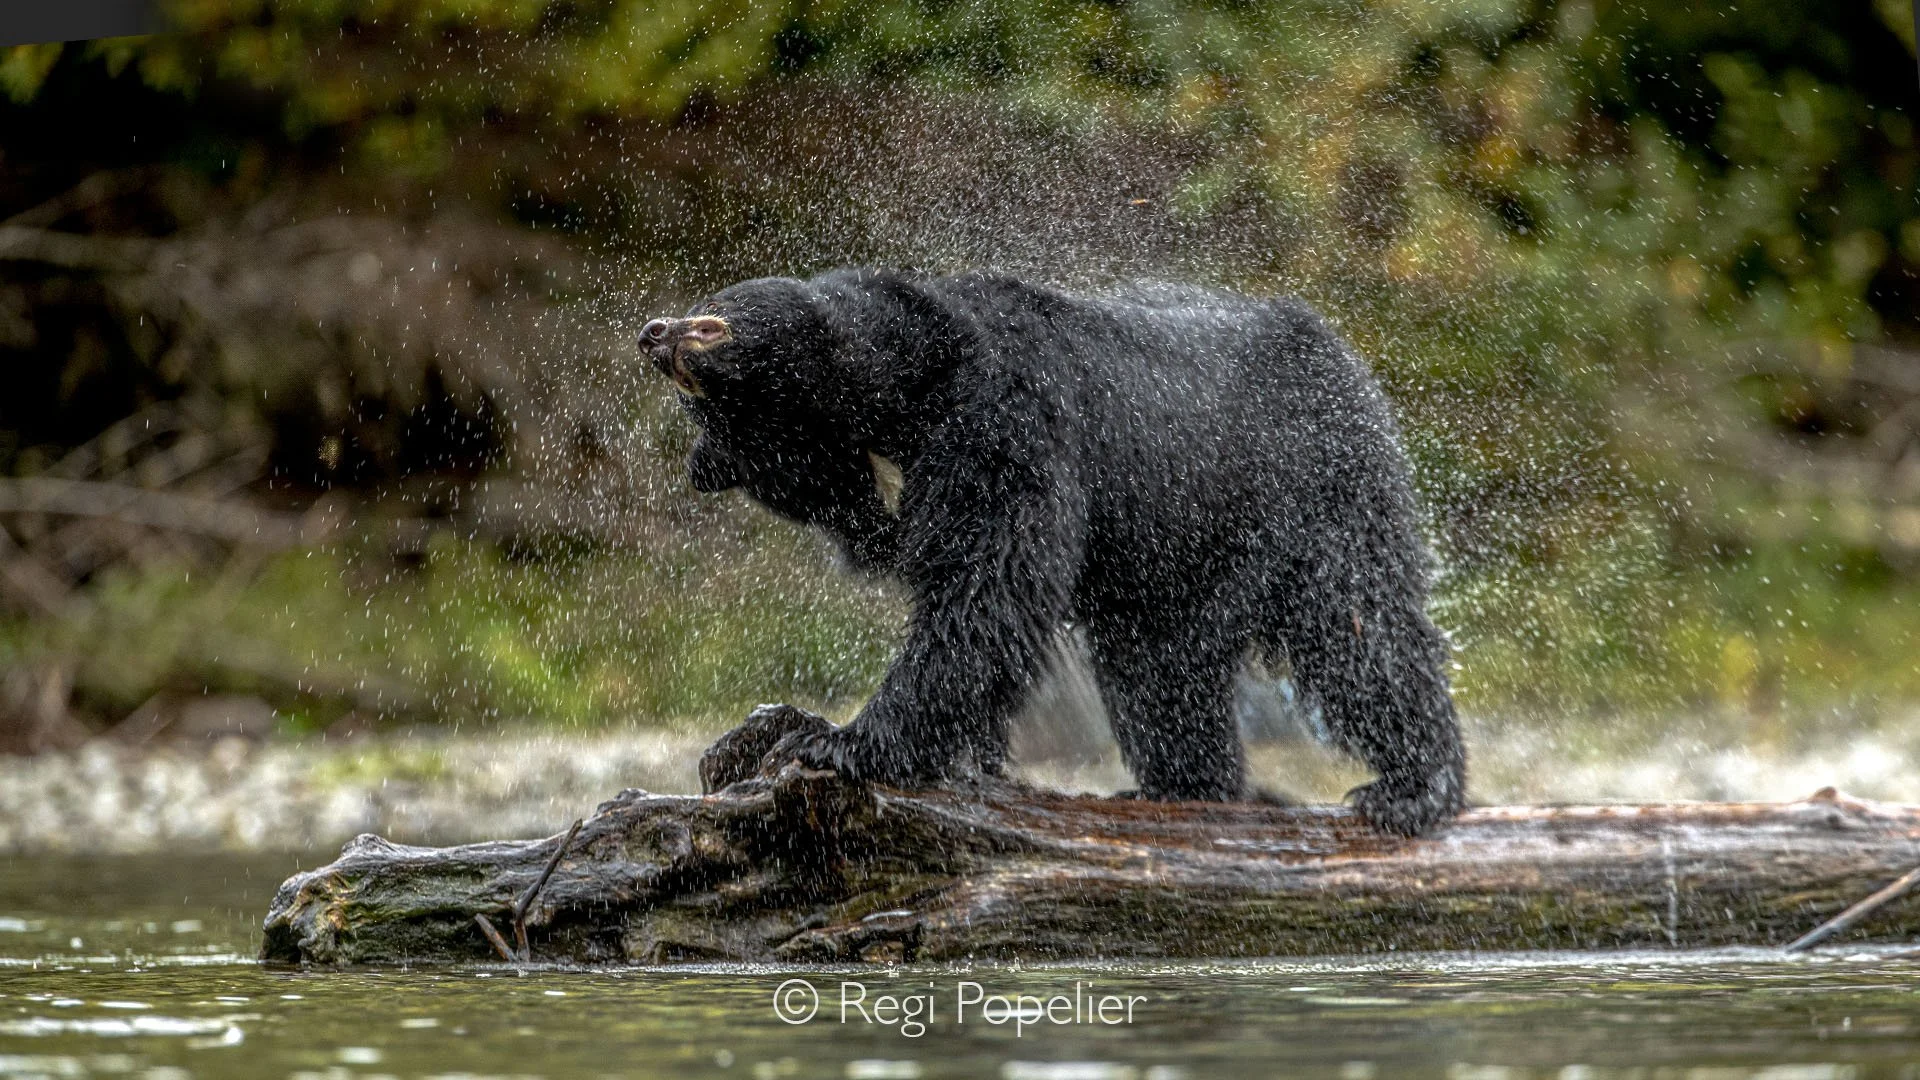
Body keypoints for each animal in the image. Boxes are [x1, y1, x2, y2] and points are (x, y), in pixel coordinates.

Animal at [639, 267, 1466, 836]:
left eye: (712, 325)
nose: (653, 333)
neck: (901, 404)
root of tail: (1332, 343)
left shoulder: (1012, 424)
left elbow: (990, 591)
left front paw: (836, 741)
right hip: (1174, 563)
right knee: (1161, 673)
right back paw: (1181, 785)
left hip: (1312, 487)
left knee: (1357, 629)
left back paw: (1412, 788)